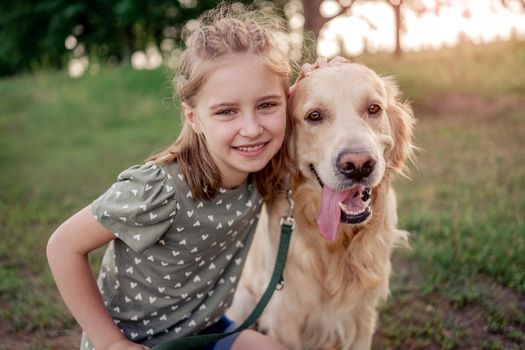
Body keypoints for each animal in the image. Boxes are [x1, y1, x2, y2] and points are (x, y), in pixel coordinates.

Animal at [227, 63, 416, 350]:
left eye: (373, 108)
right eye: (314, 116)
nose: (358, 165)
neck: (336, 244)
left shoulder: (362, 314)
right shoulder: (285, 315)